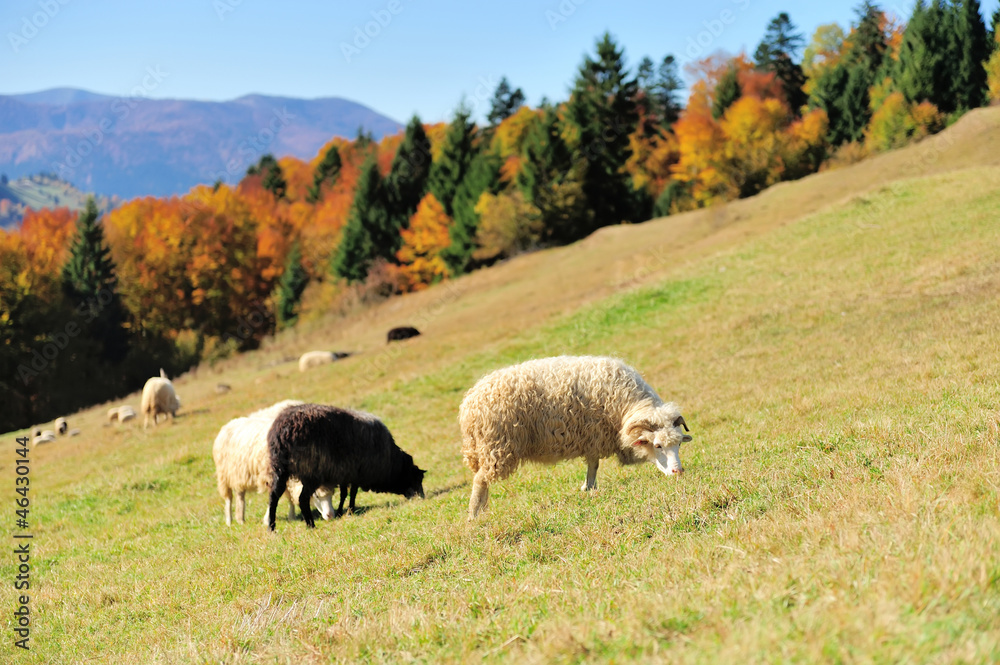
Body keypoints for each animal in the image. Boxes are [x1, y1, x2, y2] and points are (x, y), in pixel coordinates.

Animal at [212, 396, 334, 528]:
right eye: (316, 494)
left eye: (333, 493)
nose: (331, 516)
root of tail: (230, 423)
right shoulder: (272, 476)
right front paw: (268, 519)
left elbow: (290, 497)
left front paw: (291, 516)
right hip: (224, 475)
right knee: (228, 498)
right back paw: (229, 521)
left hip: (239, 473)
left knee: (240, 495)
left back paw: (241, 519)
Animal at [462, 358, 692, 520]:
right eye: (657, 445)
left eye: (679, 444)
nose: (678, 472)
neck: (627, 405)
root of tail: (469, 404)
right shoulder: (595, 434)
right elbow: (594, 464)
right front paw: (589, 488)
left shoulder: (592, 438)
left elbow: (593, 465)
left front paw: (588, 488)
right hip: (497, 446)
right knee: (480, 480)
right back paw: (474, 515)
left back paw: (482, 510)